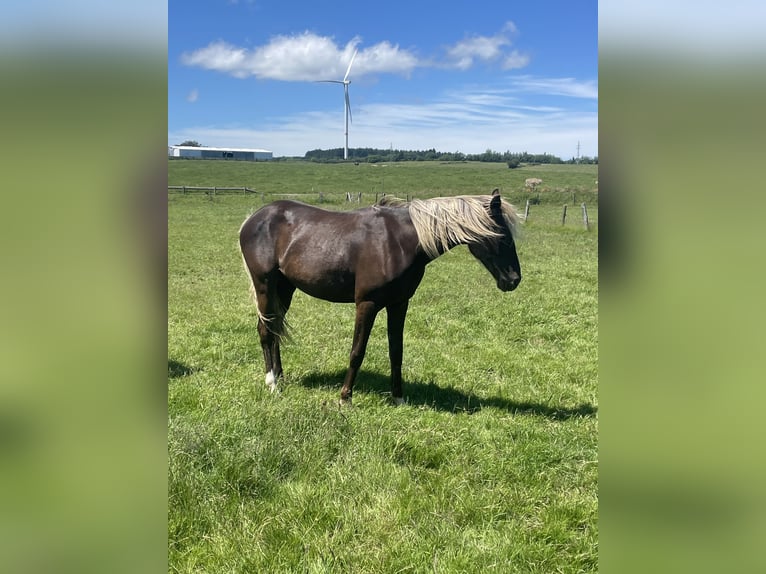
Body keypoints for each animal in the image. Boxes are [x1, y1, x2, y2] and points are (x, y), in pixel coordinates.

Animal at [239, 188, 522, 406]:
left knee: (274, 328)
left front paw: (399, 398)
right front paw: (345, 398)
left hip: (285, 288)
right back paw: (272, 383)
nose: (514, 280)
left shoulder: (399, 304)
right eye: (502, 236)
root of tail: (253, 219)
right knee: (265, 331)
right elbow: (357, 351)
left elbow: (396, 351)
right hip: (265, 285)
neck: (400, 241)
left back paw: (280, 376)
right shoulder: (367, 304)